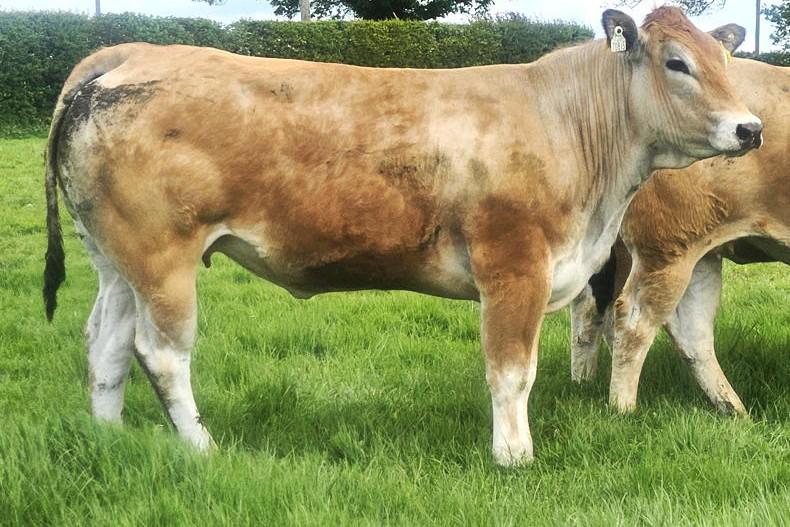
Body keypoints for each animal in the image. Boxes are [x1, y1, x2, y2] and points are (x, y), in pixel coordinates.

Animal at [43, 8, 761, 465]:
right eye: (677, 62)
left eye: (725, 58)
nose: (751, 128)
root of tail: (132, 52)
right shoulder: (514, 266)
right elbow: (511, 370)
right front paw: (514, 456)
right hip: (162, 256)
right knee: (161, 353)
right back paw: (202, 449)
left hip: (114, 258)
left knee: (105, 344)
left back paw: (109, 438)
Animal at [570, 57, 788, 415]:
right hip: (667, 247)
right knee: (632, 321)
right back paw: (622, 408)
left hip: (697, 251)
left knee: (686, 332)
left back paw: (733, 410)